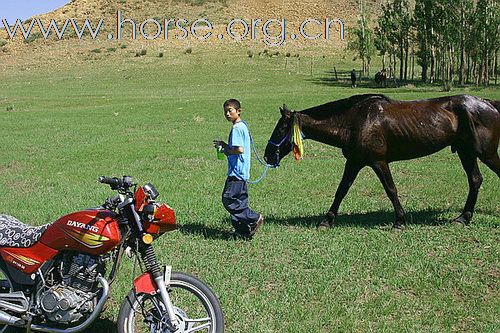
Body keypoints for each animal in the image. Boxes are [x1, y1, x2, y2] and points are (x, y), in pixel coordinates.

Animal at [264, 94, 498, 228]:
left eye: (281, 129)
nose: (267, 155)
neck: (355, 122)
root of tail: (489, 104)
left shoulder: (378, 162)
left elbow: (391, 189)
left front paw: (400, 221)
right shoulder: (354, 162)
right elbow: (341, 190)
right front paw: (326, 221)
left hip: (485, 154)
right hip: (466, 152)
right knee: (475, 180)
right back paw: (463, 218)